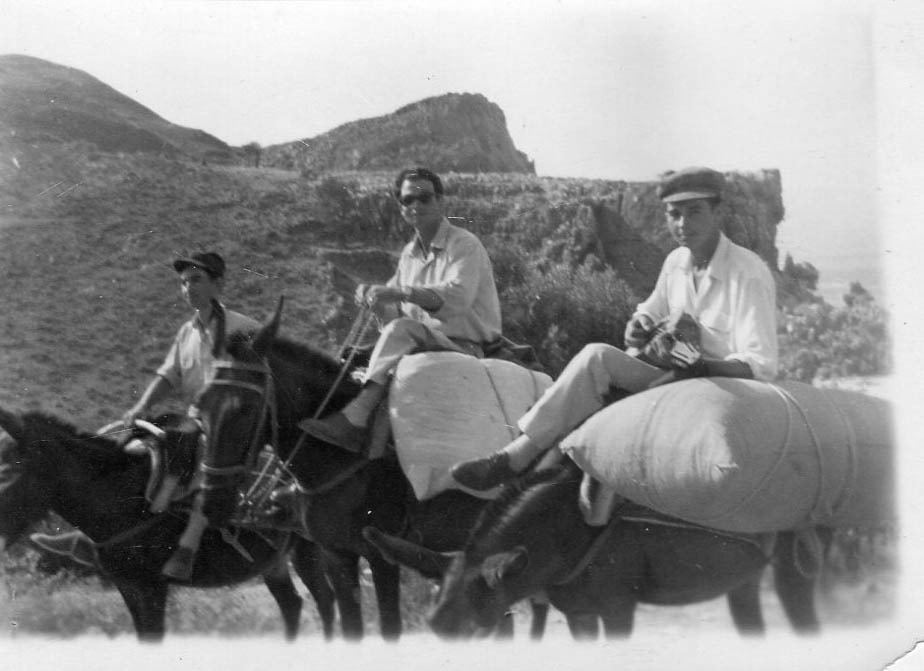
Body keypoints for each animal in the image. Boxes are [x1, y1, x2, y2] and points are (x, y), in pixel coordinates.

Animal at [0, 407, 345, 641]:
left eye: (7, 472)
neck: (119, 495)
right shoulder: (128, 585)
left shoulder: (152, 586)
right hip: (272, 560)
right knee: (292, 604)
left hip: (307, 548)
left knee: (325, 601)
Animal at [195, 301, 550, 640]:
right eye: (200, 406)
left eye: (245, 409)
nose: (213, 503)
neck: (341, 455)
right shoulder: (336, 554)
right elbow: (352, 626)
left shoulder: (382, 556)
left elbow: (390, 626)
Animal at [363, 460, 825, 639]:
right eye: (433, 628)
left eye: (473, 631)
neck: (568, 528)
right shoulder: (578, 612)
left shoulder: (619, 607)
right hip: (742, 577)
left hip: (796, 566)